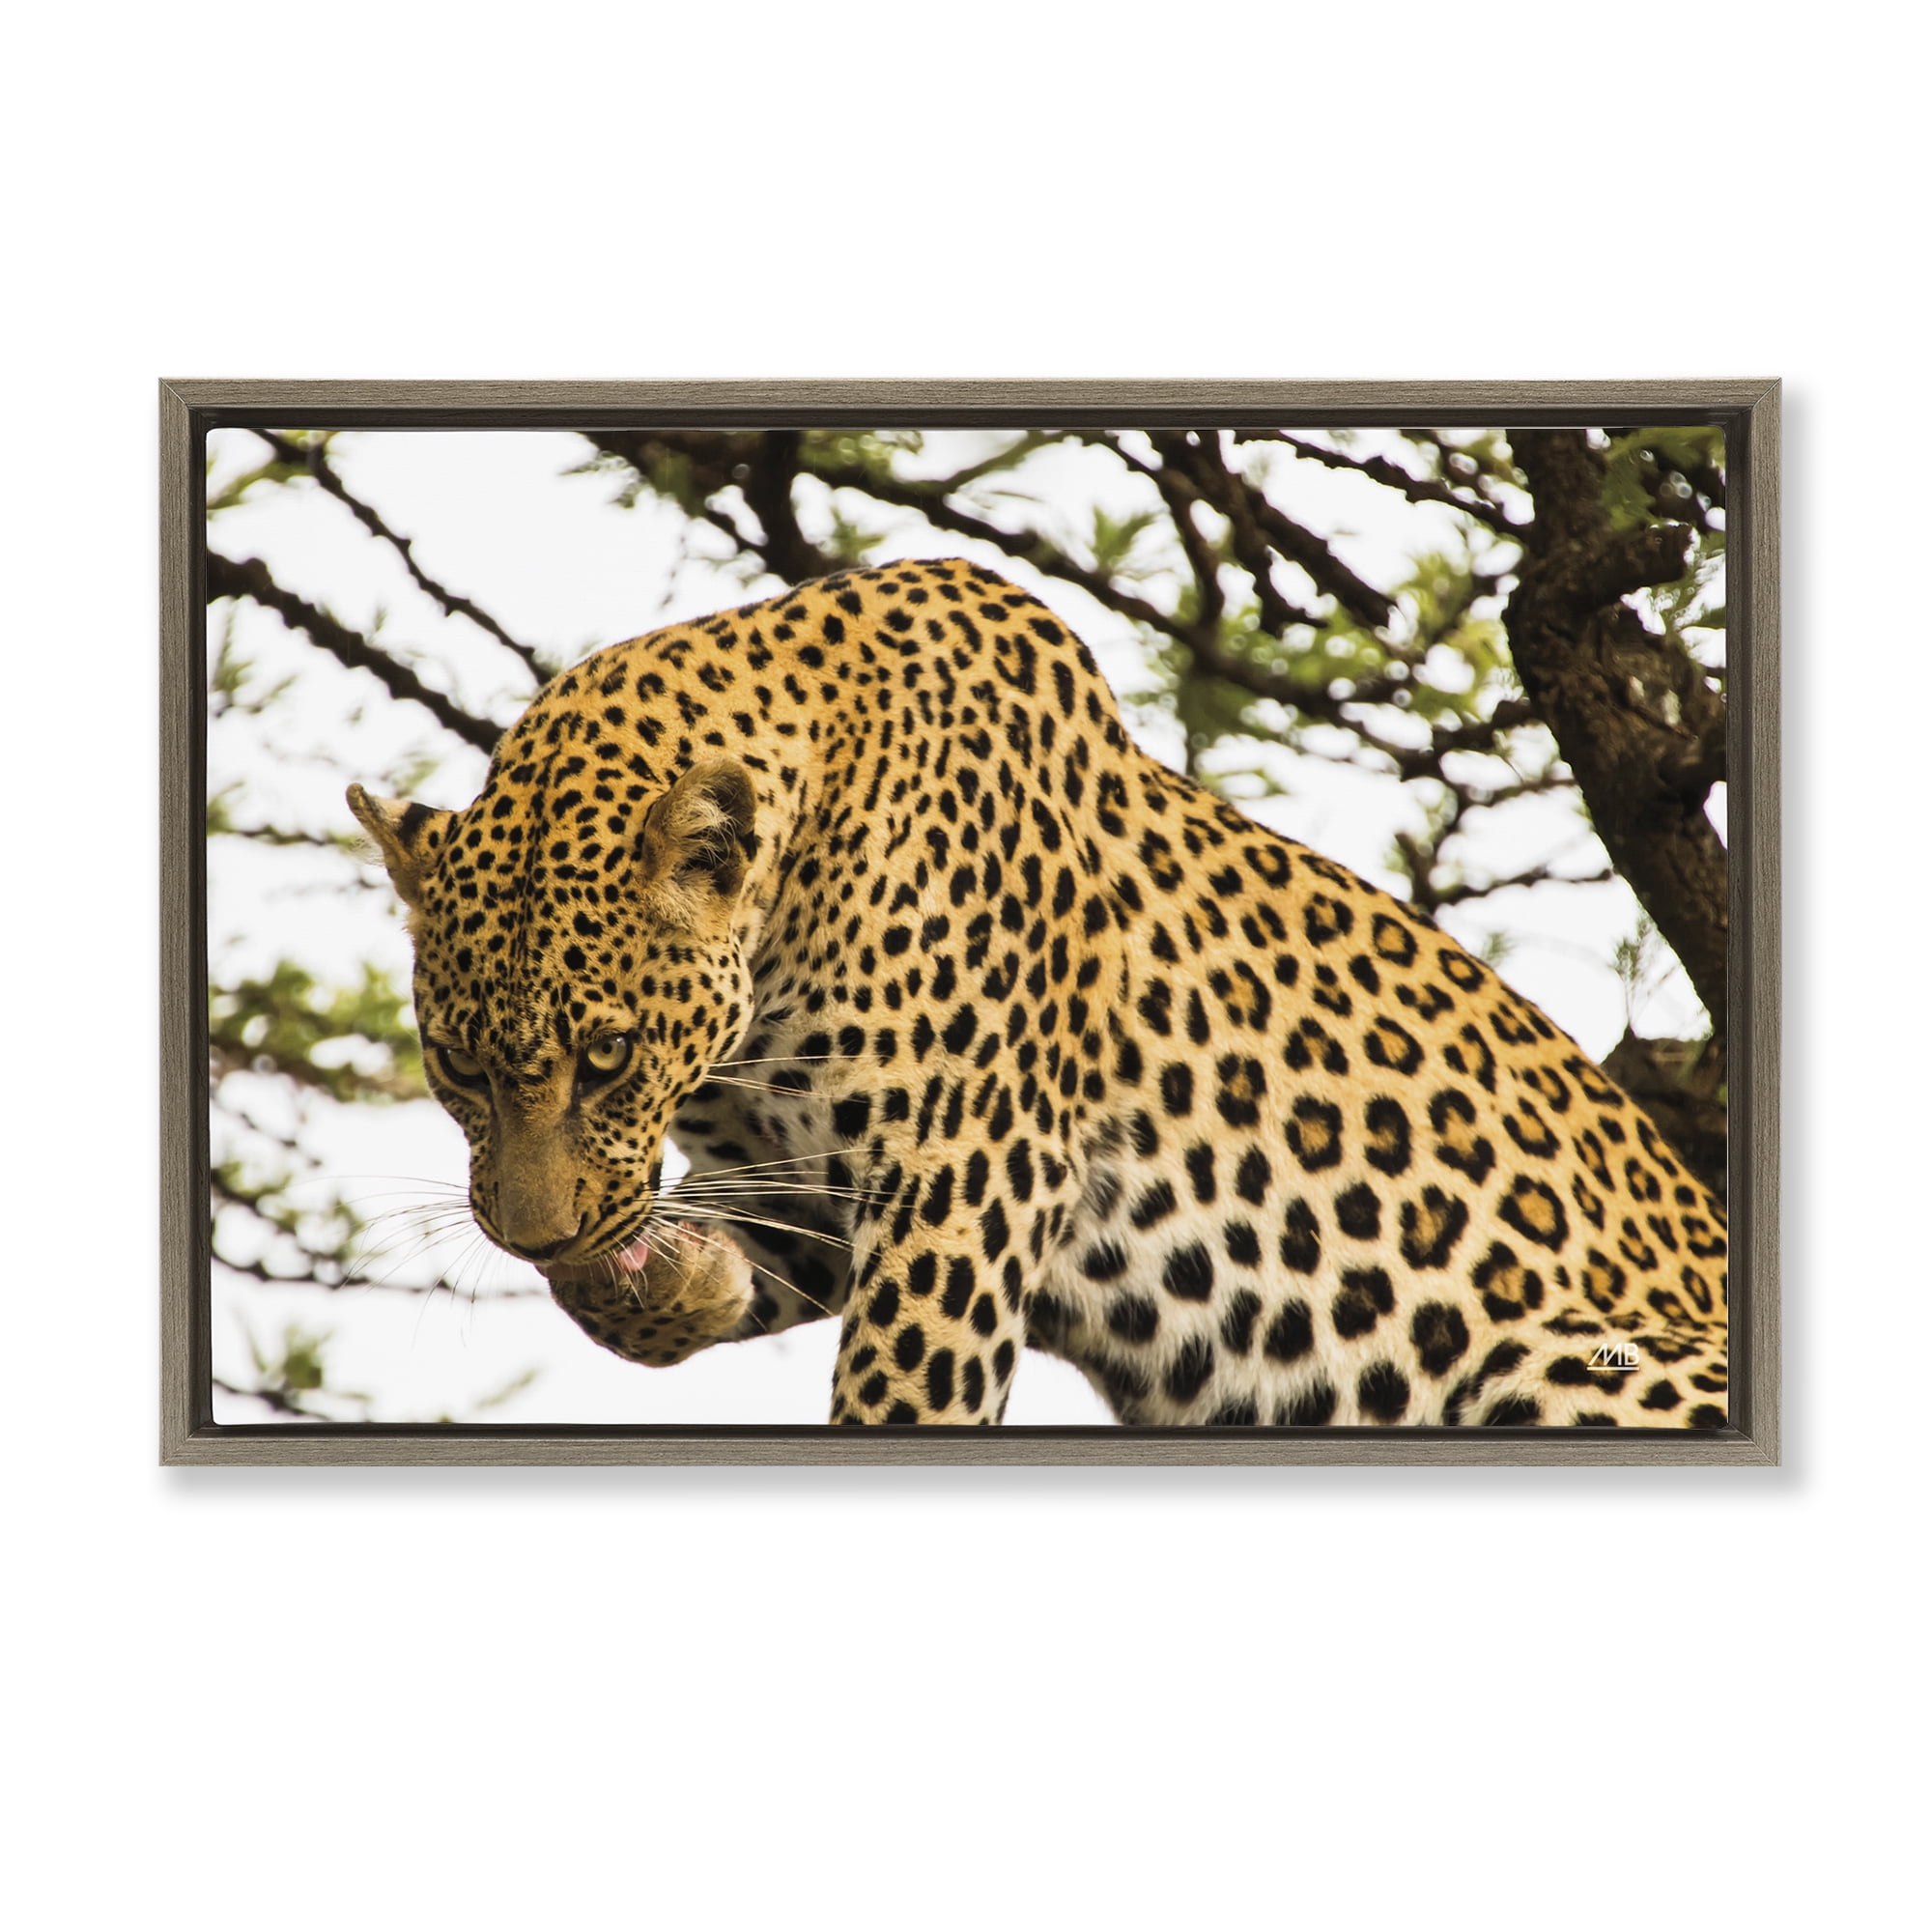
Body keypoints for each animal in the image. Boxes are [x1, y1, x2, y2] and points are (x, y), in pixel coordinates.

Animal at [348, 558, 1728, 1428]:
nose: (531, 1236)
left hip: (1565, 1357)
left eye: (607, 1057)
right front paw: (662, 1279)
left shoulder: (963, 1175)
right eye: (457, 1065)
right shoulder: (808, 1184)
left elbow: (903, 1394)